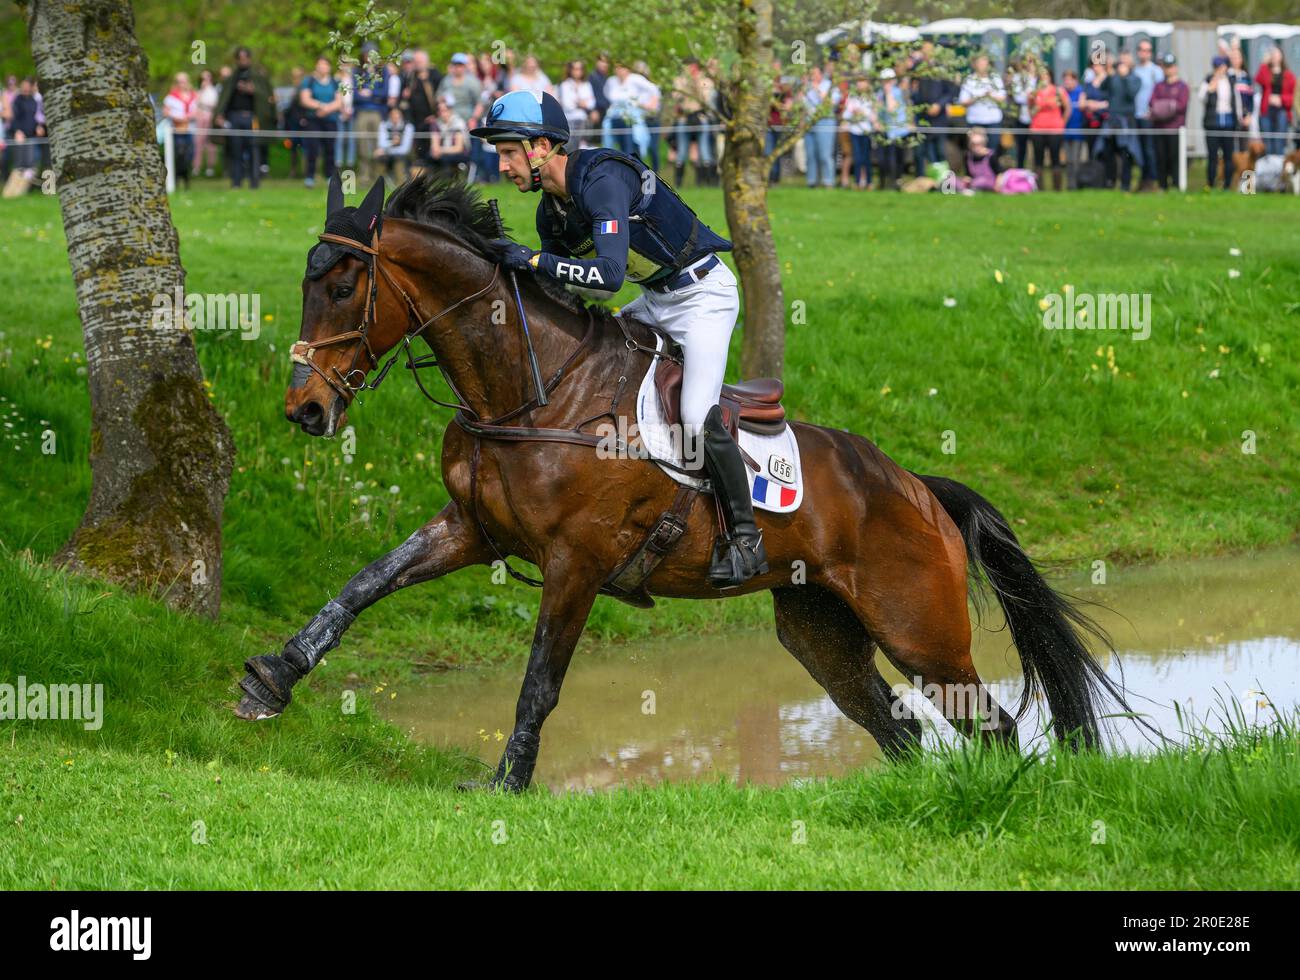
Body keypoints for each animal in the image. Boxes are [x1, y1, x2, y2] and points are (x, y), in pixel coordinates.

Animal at [236, 174, 1138, 785]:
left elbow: (539, 683)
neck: (533, 387)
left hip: (921, 630)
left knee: (988, 724)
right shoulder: (470, 529)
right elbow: (360, 587)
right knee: (898, 730)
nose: (305, 409)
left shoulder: (576, 563)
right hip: (820, 630)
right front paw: (271, 679)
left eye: (342, 285)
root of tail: (917, 486)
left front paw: (507, 783)